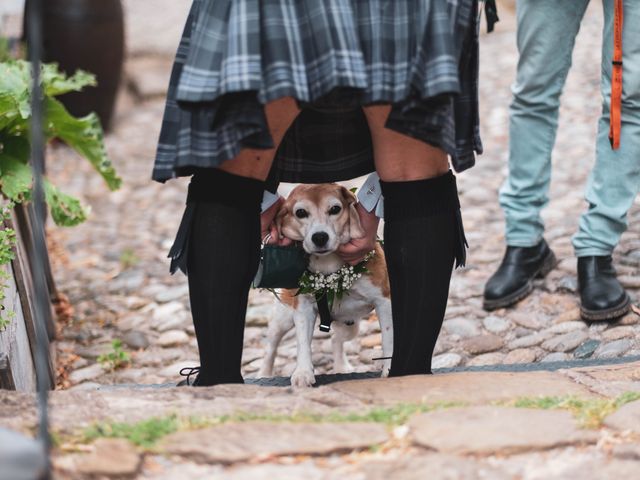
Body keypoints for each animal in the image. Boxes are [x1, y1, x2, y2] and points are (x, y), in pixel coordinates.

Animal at [258, 182, 390, 388]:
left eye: (335, 209)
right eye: (301, 212)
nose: (319, 237)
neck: (329, 266)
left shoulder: (383, 301)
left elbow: (388, 338)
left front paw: (389, 369)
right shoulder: (303, 309)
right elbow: (303, 343)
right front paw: (303, 373)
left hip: (350, 325)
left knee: (336, 339)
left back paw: (341, 367)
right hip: (283, 318)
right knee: (271, 345)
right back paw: (264, 372)